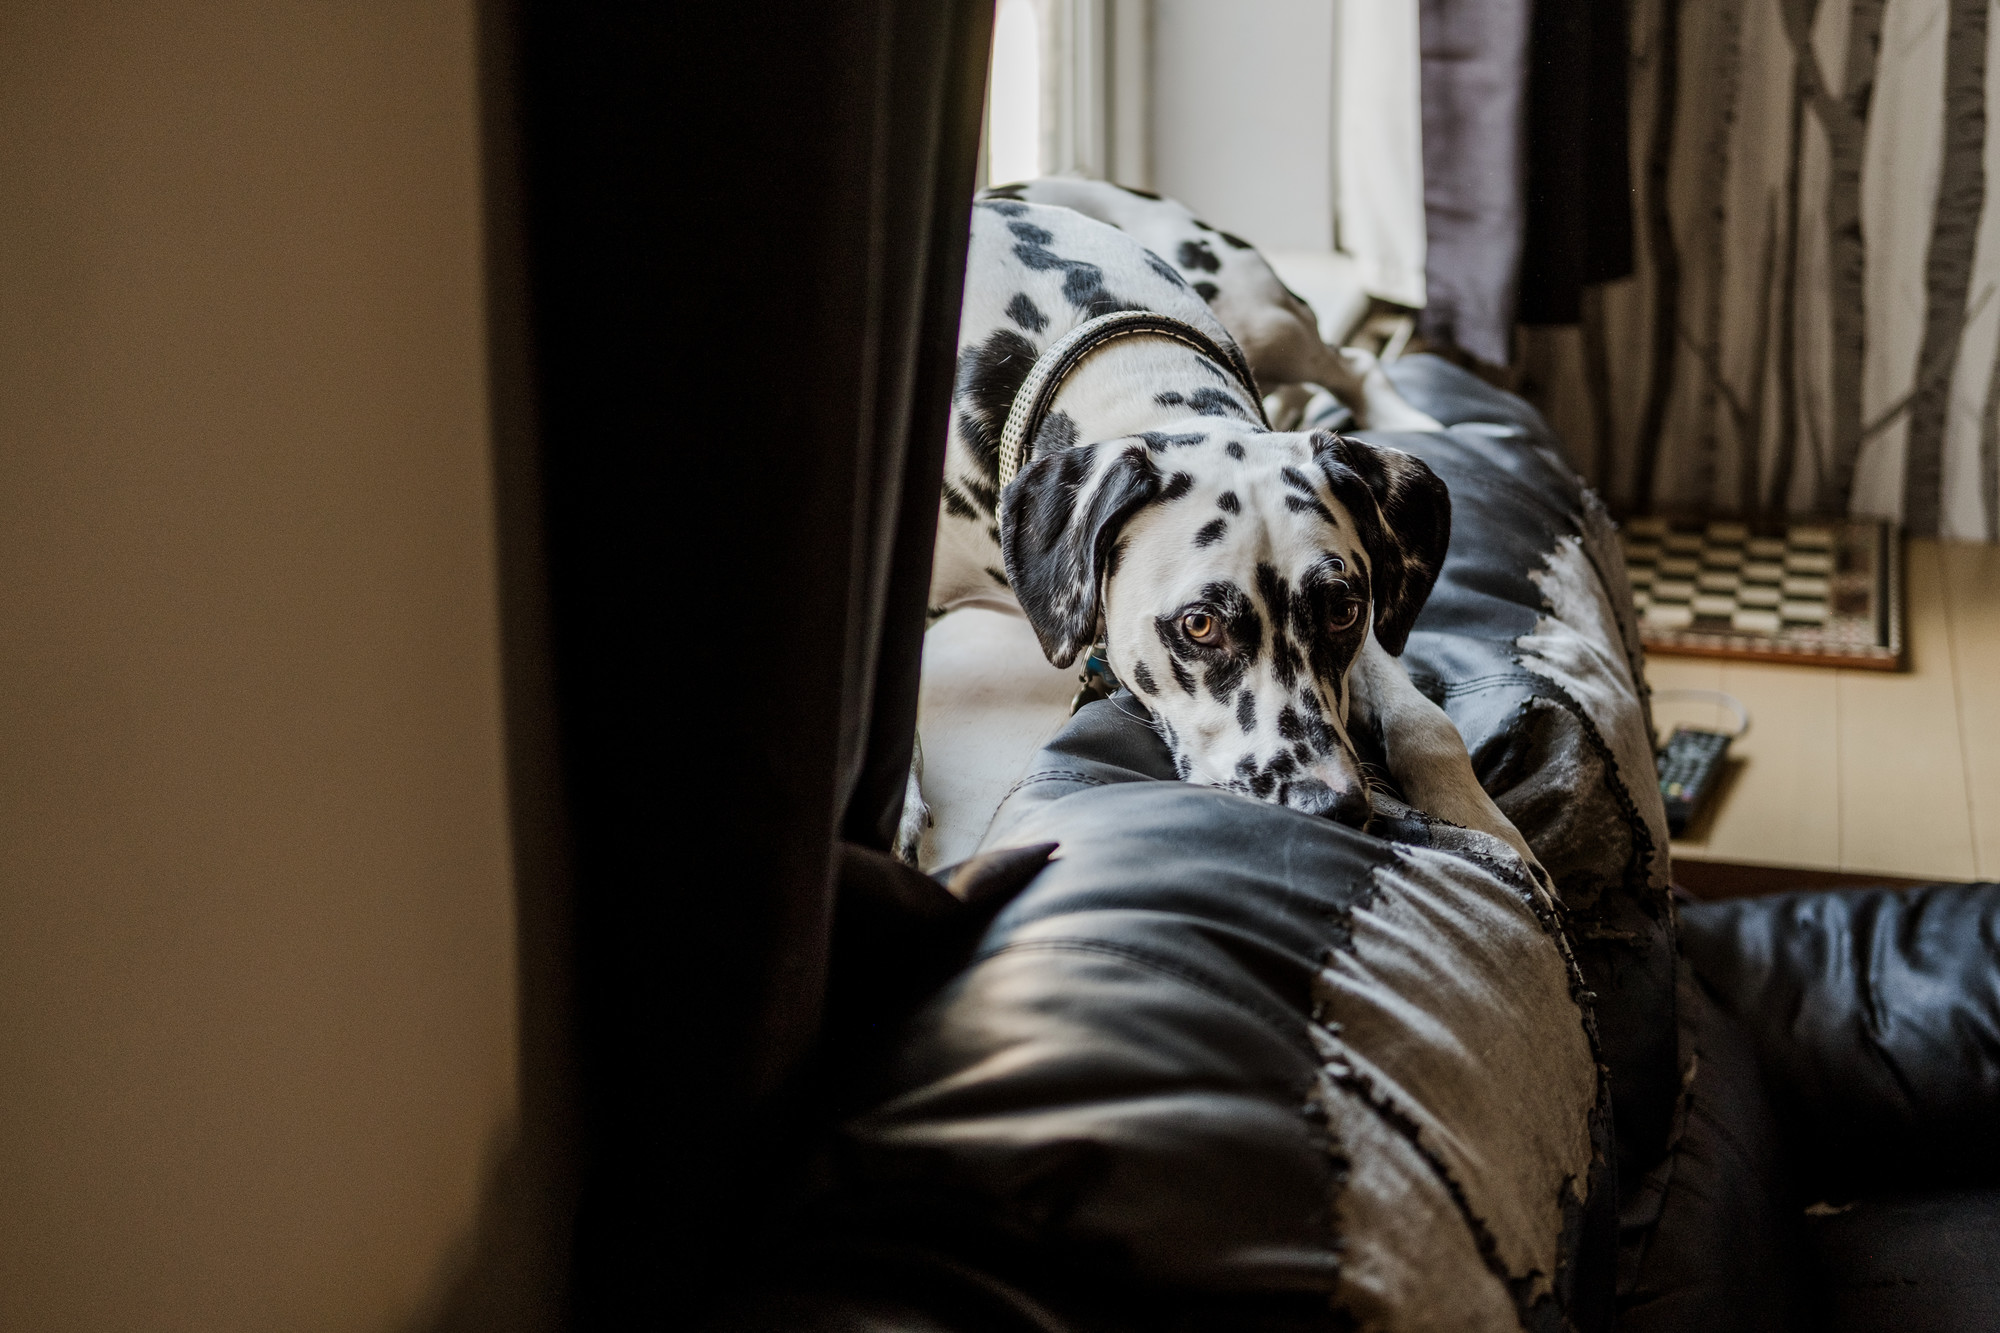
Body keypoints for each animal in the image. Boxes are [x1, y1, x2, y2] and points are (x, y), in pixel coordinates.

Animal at [916, 184, 1536, 872]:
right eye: (1200, 625)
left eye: (1345, 611)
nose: (1331, 806)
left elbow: (1427, 725)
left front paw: (1487, 826)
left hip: (1270, 321)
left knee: (1354, 364)